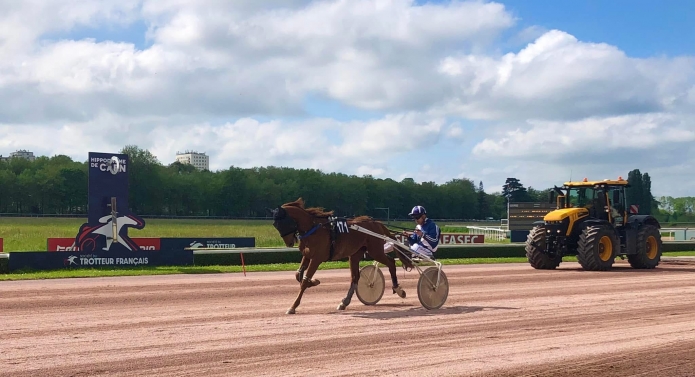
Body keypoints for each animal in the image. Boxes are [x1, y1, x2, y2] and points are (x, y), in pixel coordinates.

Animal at [270, 198, 414, 312]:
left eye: (282, 222)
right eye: (275, 224)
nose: (289, 243)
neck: (314, 228)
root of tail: (377, 223)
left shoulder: (316, 258)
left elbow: (304, 281)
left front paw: (293, 306)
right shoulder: (307, 255)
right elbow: (298, 275)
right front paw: (314, 282)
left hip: (375, 251)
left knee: (391, 263)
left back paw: (398, 289)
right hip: (355, 254)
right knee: (355, 277)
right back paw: (344, 302)